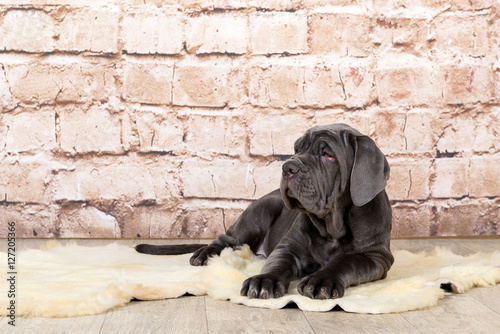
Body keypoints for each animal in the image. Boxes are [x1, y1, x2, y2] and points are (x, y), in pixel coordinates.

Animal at [137, 123, 394, 300]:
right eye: (297, 149)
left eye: (328, 155)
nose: (288, 166)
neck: (332, 227)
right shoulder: (288, 247)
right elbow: (276, 264)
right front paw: (263, 281)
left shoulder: (376, 257)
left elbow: (346, 261)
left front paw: (323, 279)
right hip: (257, 214)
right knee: (226, 239)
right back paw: (206, 254)